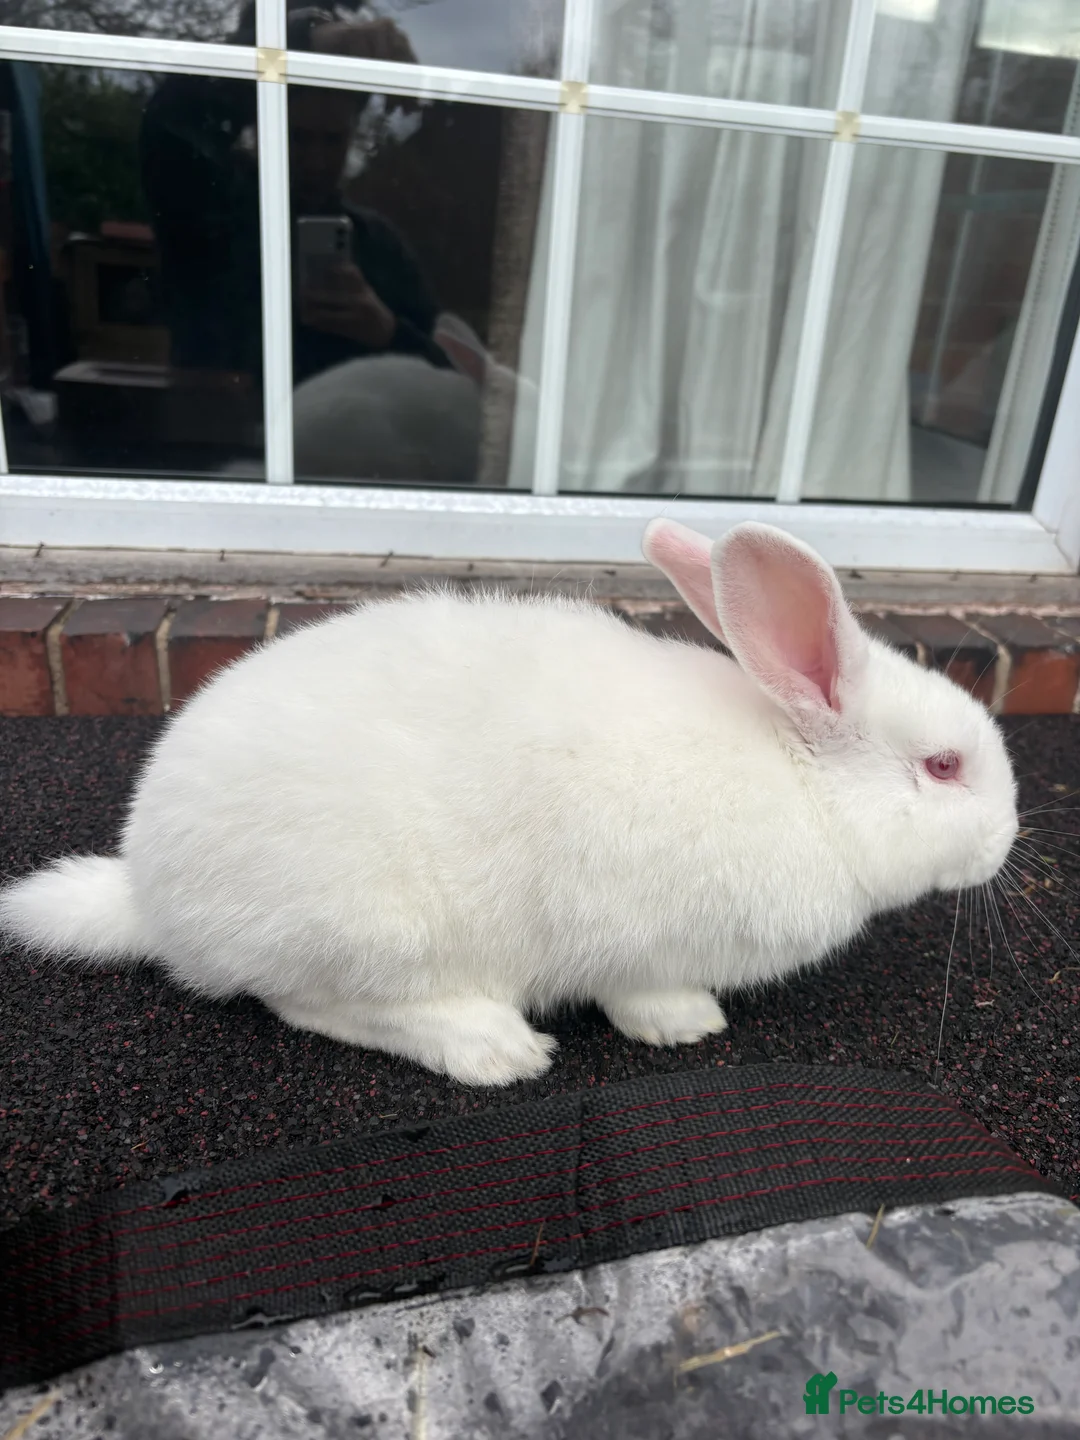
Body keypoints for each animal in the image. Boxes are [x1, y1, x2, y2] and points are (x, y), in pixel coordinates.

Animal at [0, 520, 1018, 1086]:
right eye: (942, 767)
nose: (1010, 837)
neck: (799, 778)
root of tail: (151, 896)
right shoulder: (637, 935)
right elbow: (642, 987)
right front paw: (686, 1024)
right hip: (371, 929)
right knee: (312, 1004)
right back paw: (494, 1047)